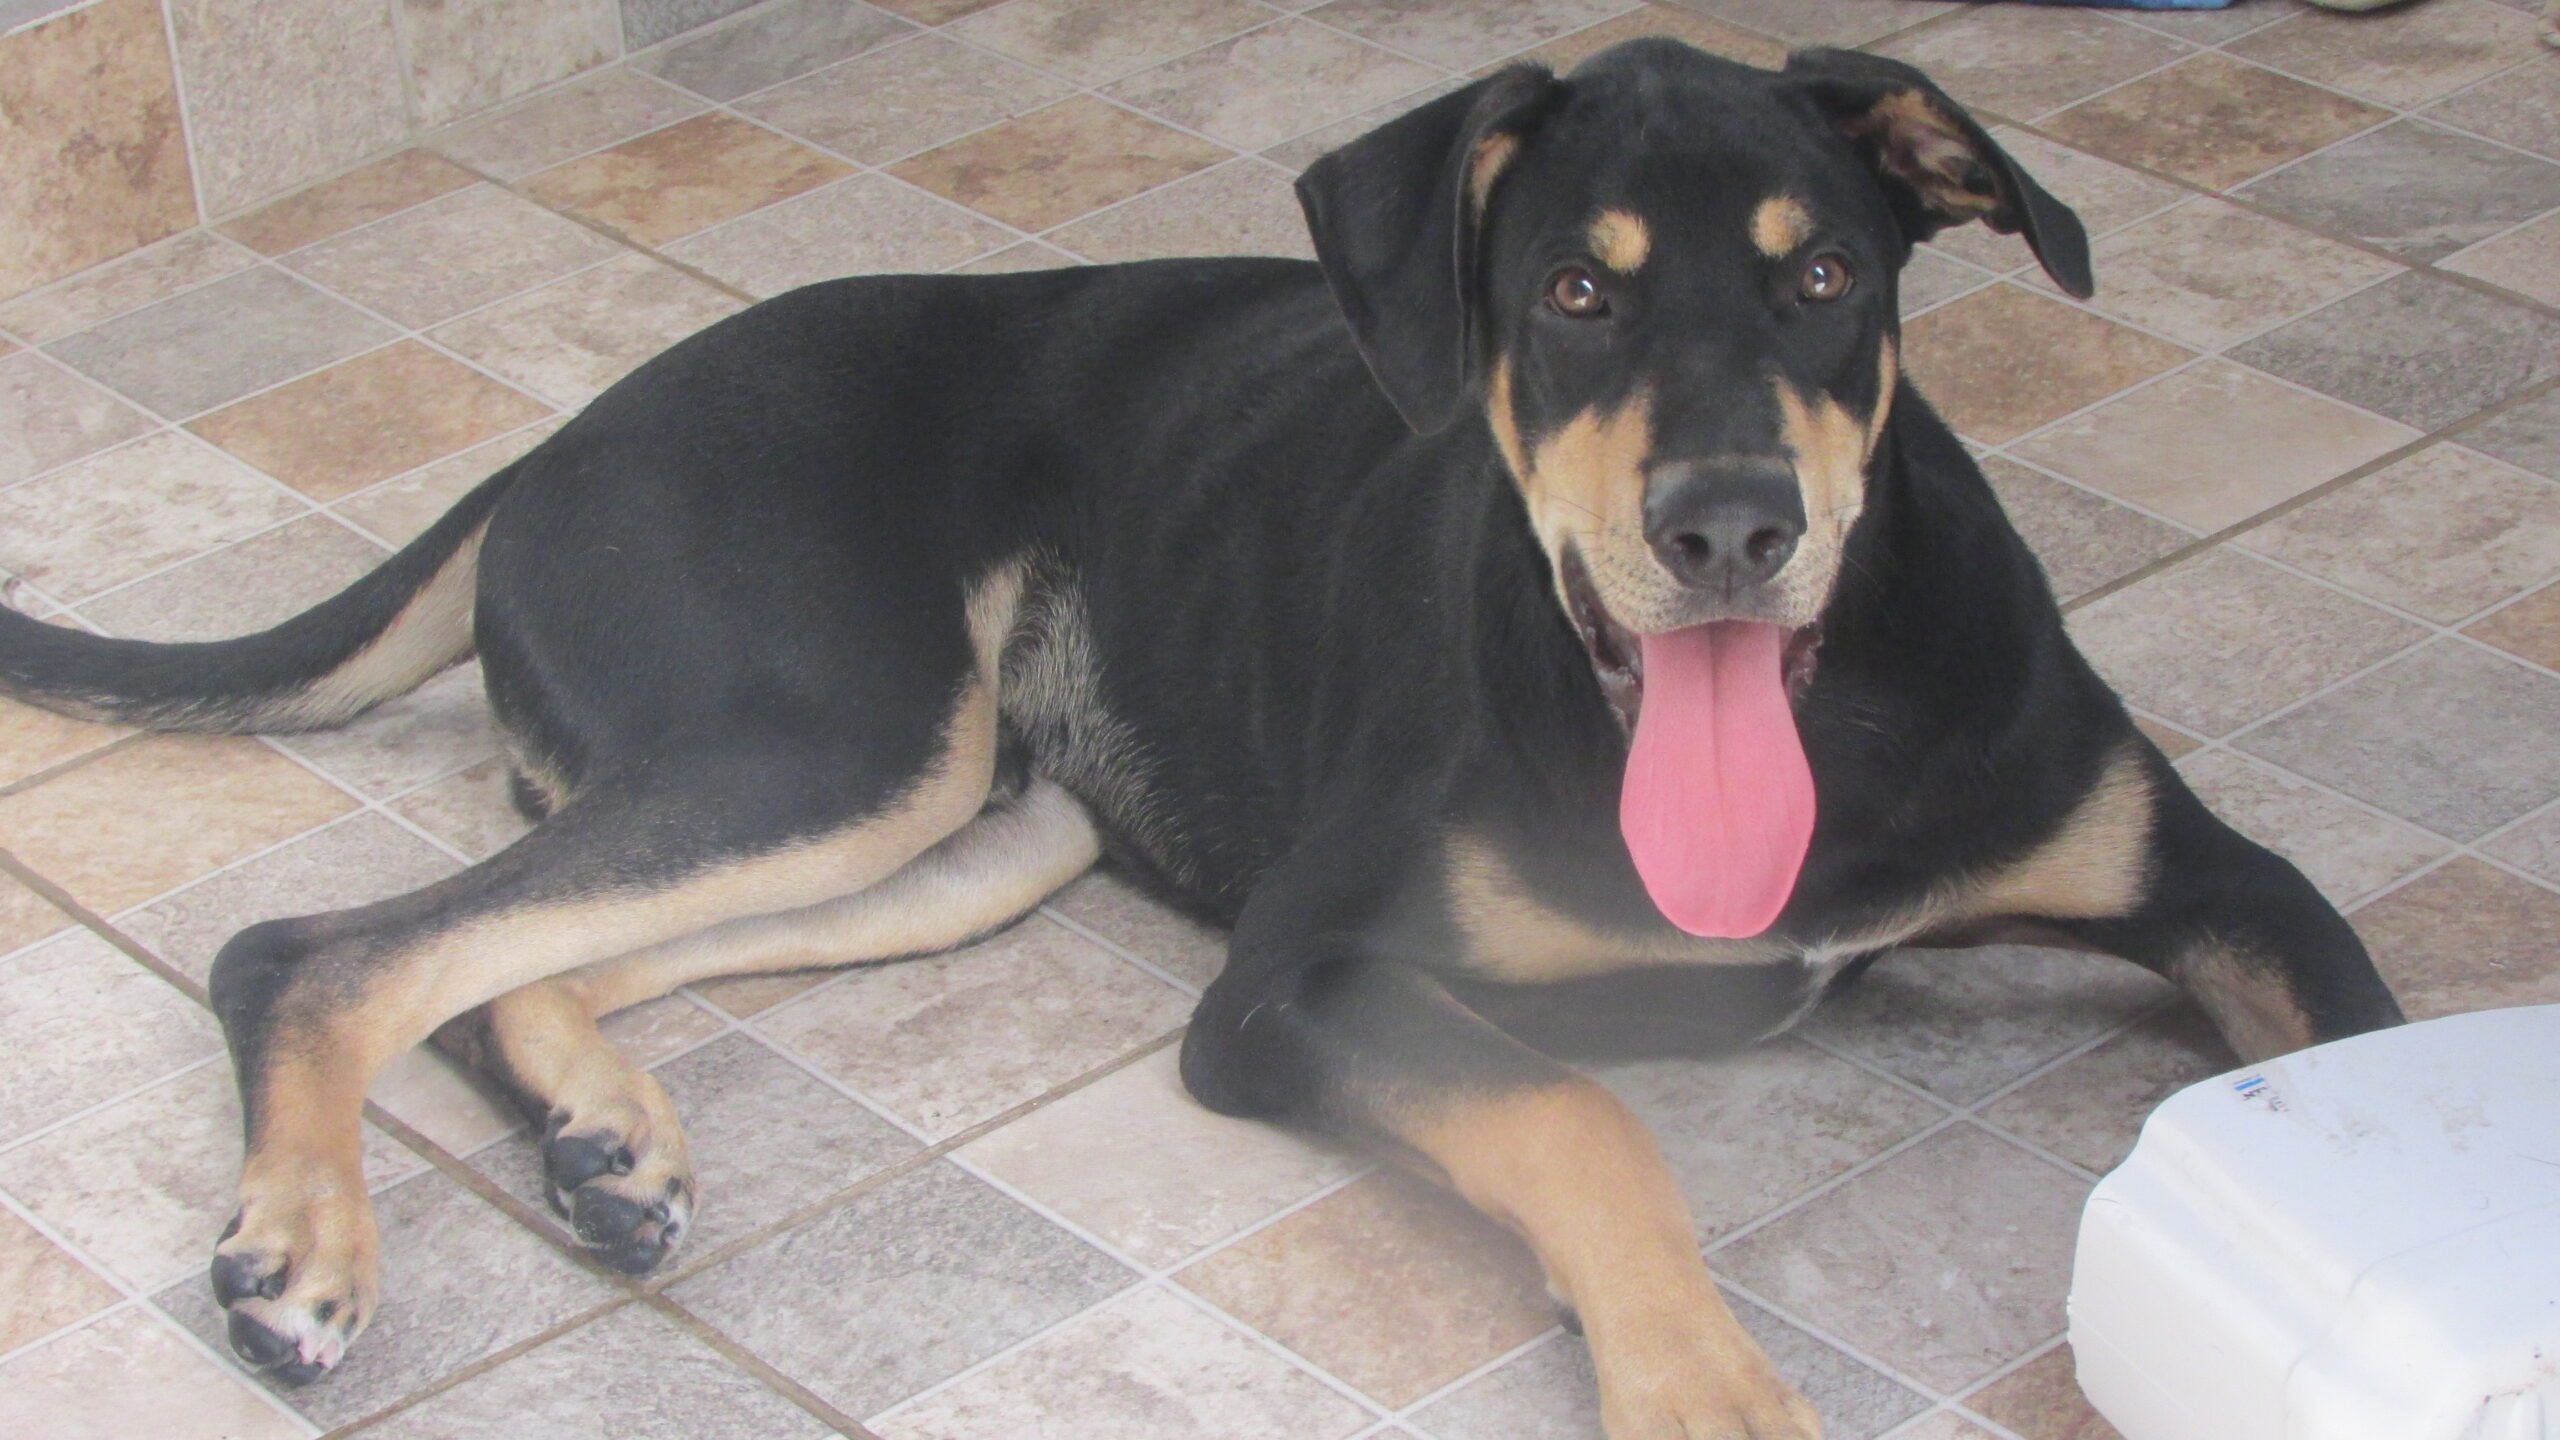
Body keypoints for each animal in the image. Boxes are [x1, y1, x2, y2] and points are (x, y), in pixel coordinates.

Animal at [0, 40, 2403, 1438]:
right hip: (834, 731)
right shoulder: (1300, 980)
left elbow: (2362, 1067)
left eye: (1830, 281)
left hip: (969, 825)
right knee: (314, 948)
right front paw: (1702, 1388)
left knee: (517, 960)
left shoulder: (2213, 877)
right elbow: (1576, 1118)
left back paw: (602, 1132)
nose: (1728, 527)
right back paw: (306, 1249)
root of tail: (554, 439)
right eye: (1574, 294)